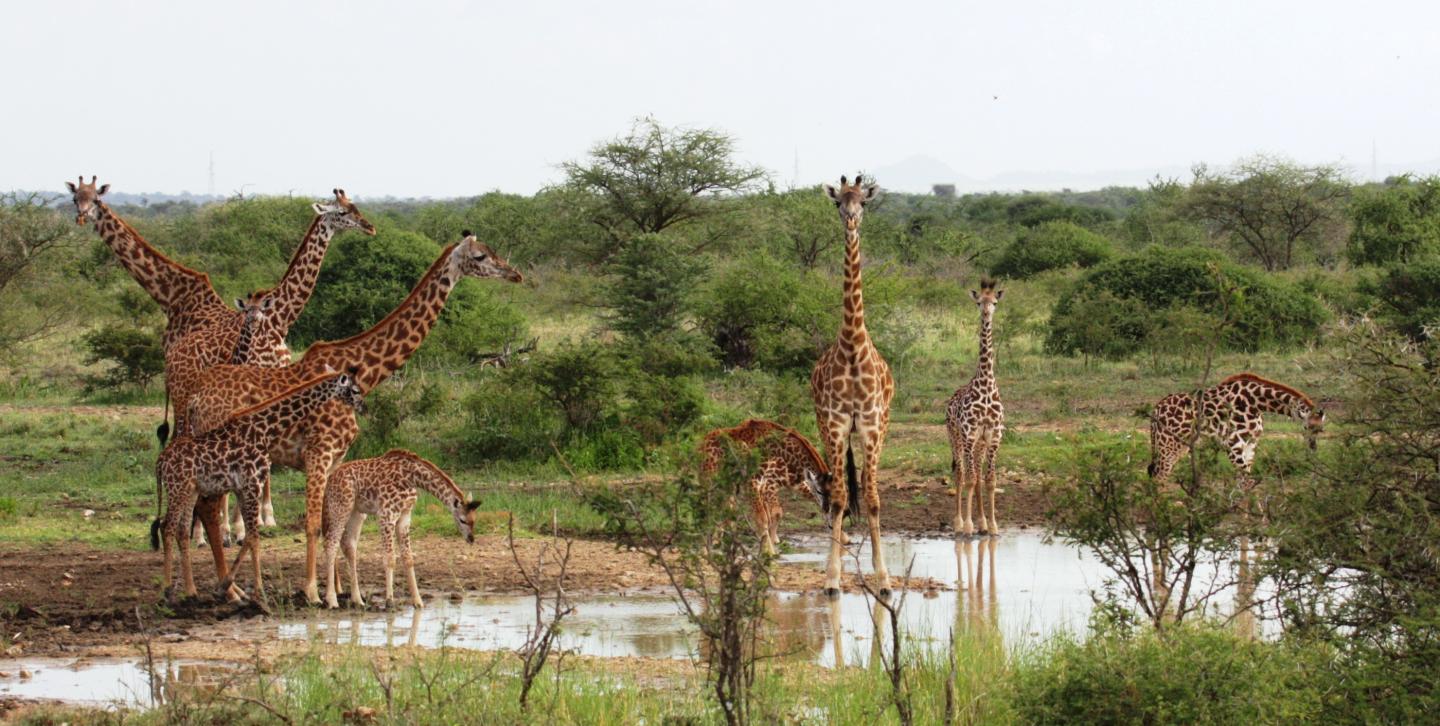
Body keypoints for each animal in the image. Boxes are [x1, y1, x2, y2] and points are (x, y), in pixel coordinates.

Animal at [150, 370, 364, 604]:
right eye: (354, 389)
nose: (362, 405)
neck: (264, 429)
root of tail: (160, 462)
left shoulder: (244, 488)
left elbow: (250, 537)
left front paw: (227, 585)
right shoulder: (253, 483)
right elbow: (254, 537)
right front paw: (260, 592)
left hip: (189, 491)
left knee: (180, 529)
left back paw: (191, 591)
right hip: (178, 489)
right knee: (168, 526)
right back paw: (168, 590)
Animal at [322, 450, 480, 609]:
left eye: (474, 519)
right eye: (462, 520)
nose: (471, 539)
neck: (411, 478)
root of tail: (330, 479)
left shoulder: (405, 516)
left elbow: (408, 558)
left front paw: (418, 601)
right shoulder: (386, 515)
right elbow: (390, 558)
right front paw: (389, 601)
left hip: (357, 512)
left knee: (349, 546)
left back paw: (358, 600)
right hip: (341, 506)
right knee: (331, 544)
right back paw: (332, 600)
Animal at [699, 419, 836, 556]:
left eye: (832, 493)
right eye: (819, 491)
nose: (826, 509)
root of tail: (702, 443)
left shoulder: (761, 483)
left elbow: (768, 516)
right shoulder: (753, 482)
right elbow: (763, 518)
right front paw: (769, 553)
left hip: (728, 485)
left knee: (726, 511)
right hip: (709, 479)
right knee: (706, 509)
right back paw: (704, 552)